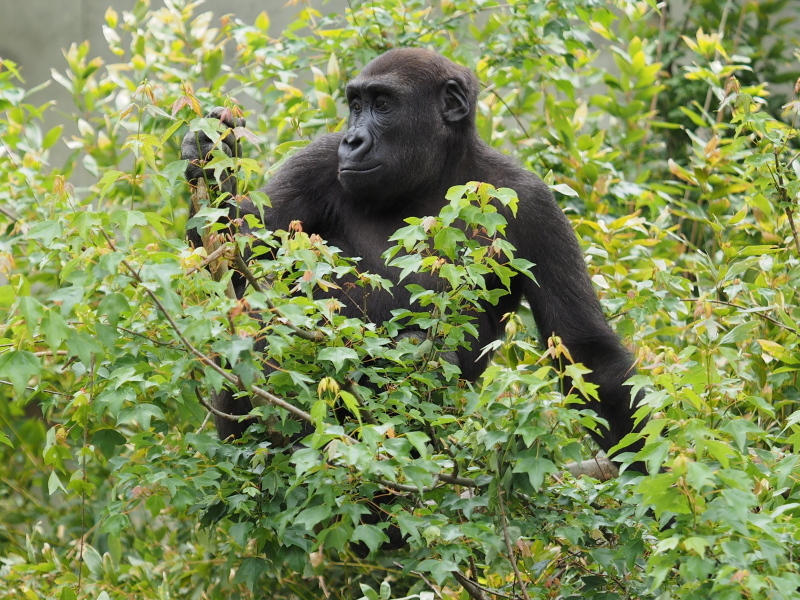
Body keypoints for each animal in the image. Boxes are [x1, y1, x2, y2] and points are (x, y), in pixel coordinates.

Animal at [181, 48, 644, 468]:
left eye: (383, 105)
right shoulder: (317, 160)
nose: (353, 140)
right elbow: (234, 272)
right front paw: (211, 160)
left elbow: (585, 353)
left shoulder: (535, 203)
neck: (435, 177)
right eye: (355, 106)